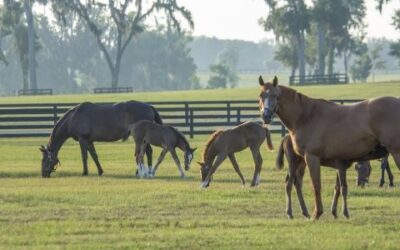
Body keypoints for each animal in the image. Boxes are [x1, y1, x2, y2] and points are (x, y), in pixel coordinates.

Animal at [258, 75, 398, 219]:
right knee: (292, 183)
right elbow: (336, 187)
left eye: (275, 95)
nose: (265, 116)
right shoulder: (334, 163)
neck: (306, 116)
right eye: (261, 95)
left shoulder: (312, 158)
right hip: (296, 162)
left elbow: (317, 185)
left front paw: (317, 214)